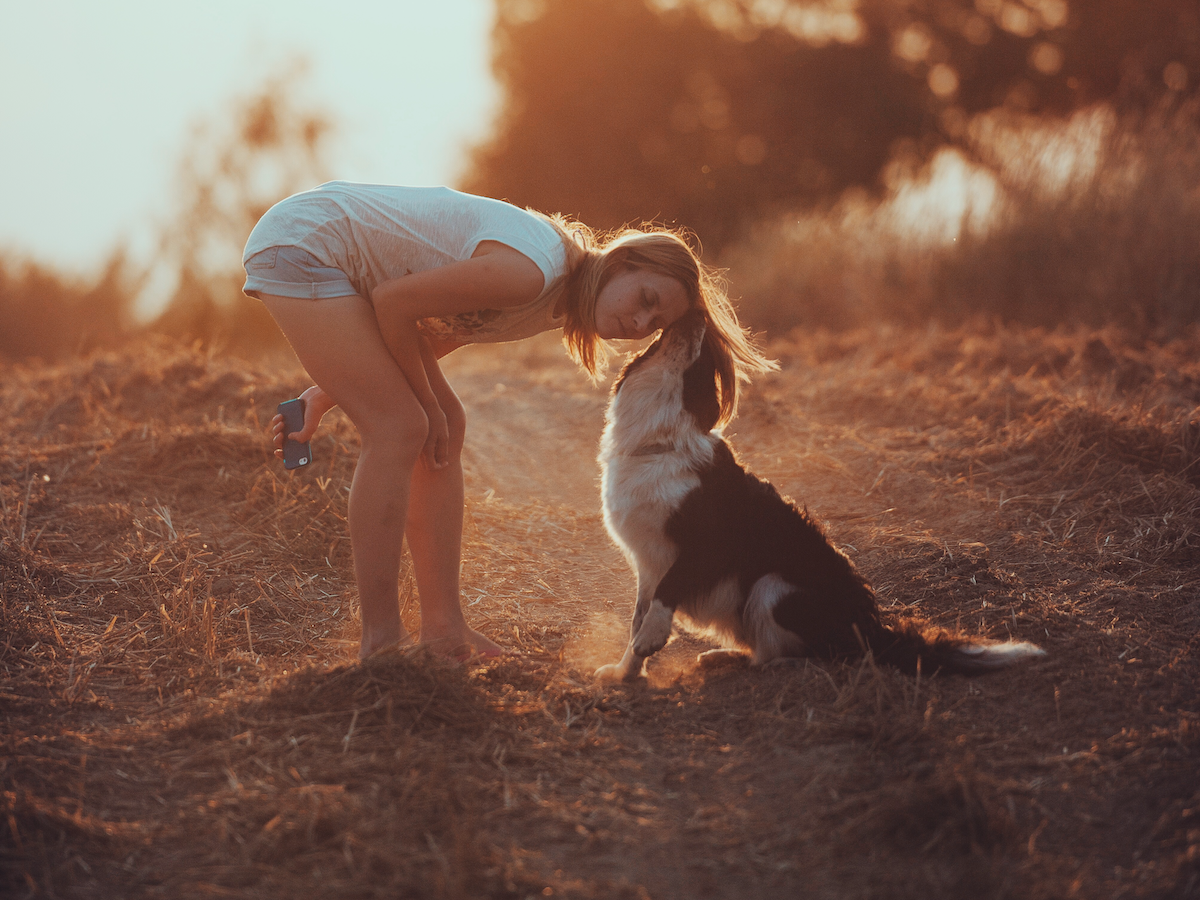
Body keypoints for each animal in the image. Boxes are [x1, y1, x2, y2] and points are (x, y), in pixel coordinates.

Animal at [595, 312, 1046, 681]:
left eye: (706, 362)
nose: (694, 312)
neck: (660, 442)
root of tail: (872, 630)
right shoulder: (646, 562)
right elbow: (637, 617)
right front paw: (625, 673)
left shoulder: (702, 547)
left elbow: (663, 598)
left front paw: (650, 641)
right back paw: (724, 657)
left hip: (774, 587)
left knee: (816, 656)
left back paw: (768, 665)